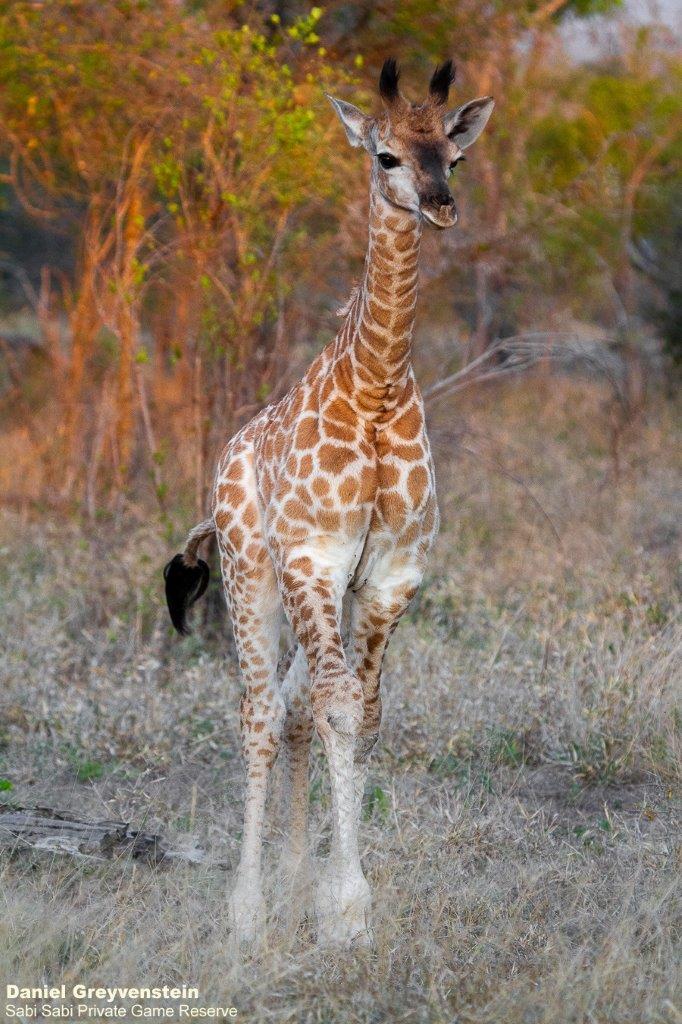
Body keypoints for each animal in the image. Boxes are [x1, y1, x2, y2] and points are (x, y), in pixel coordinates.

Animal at [164, 58, 494, 947]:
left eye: (454, 155)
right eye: (385, 156)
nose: (441, 205)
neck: (374, 388)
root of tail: (225, 461)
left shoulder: (388, 575)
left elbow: (362, 712)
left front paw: (328, 895)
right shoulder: (313, 558)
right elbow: (339, 709)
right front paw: (347, 909)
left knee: (294, 706)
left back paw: (288, 881)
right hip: (251, 575)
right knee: (257, 711)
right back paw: (247, 908)